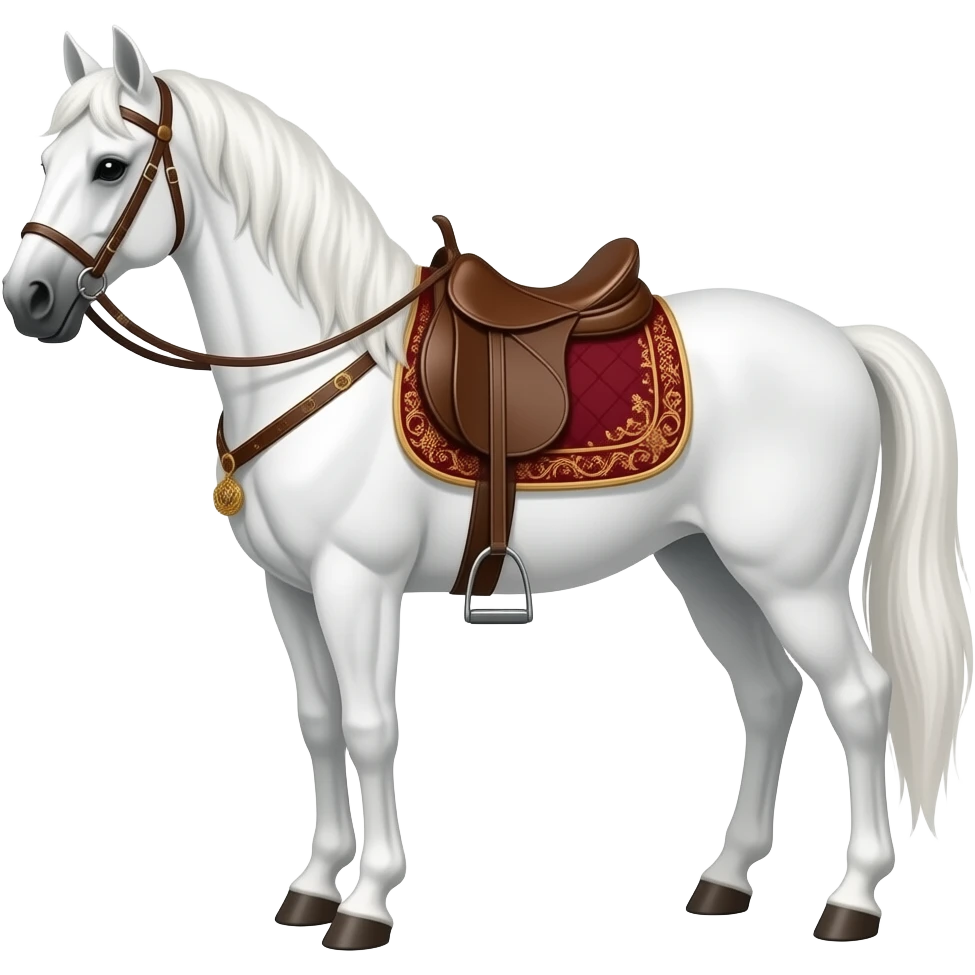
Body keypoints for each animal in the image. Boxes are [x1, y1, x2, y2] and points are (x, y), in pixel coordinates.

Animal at [3, 28, 971, 950]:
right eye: (45, 155)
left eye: (109, 165)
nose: (30, 297)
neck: (326, 364)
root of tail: (841, 340)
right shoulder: (291, 589)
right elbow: (318, 723)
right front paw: (313, 887)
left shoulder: (359, 584)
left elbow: (370, 726)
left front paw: (367, 905)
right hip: (706, 563)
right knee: (767, 694)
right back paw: (725, 880)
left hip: (793, 578)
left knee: (860, 697)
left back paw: (851, 898)